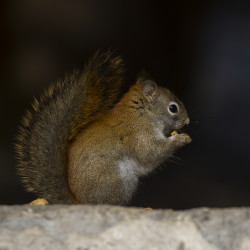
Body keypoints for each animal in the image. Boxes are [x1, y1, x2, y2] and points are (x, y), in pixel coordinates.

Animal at [15, 50, 191, 205]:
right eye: (173, 108)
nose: (187, 120)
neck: (142, 113)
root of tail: (81, 203)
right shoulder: (139, 133)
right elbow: (150, 153)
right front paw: (181, 139)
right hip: (115, 179)